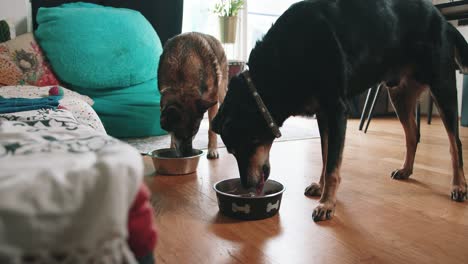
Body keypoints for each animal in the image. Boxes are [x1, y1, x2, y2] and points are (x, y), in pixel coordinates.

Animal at [159, 31, 229, 159]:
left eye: (195, 132)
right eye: (180, 135)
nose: (189, 154)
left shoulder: (212, 99)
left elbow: (211, 130)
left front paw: (212, 149)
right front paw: (171, 148)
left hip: (222, 92)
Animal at [213, 0, 468, 222]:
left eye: (248, 144)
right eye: (231, 150)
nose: (246, 186)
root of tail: (443, 20)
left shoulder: (336, 110)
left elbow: (333, 165)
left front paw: (327, 204)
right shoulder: (323, 114)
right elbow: (326, 156)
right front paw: (321, 188)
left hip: (442, 85)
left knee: (455, 142)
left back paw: (459, 185)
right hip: (400, 95)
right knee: (413, 135)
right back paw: (406, 170)